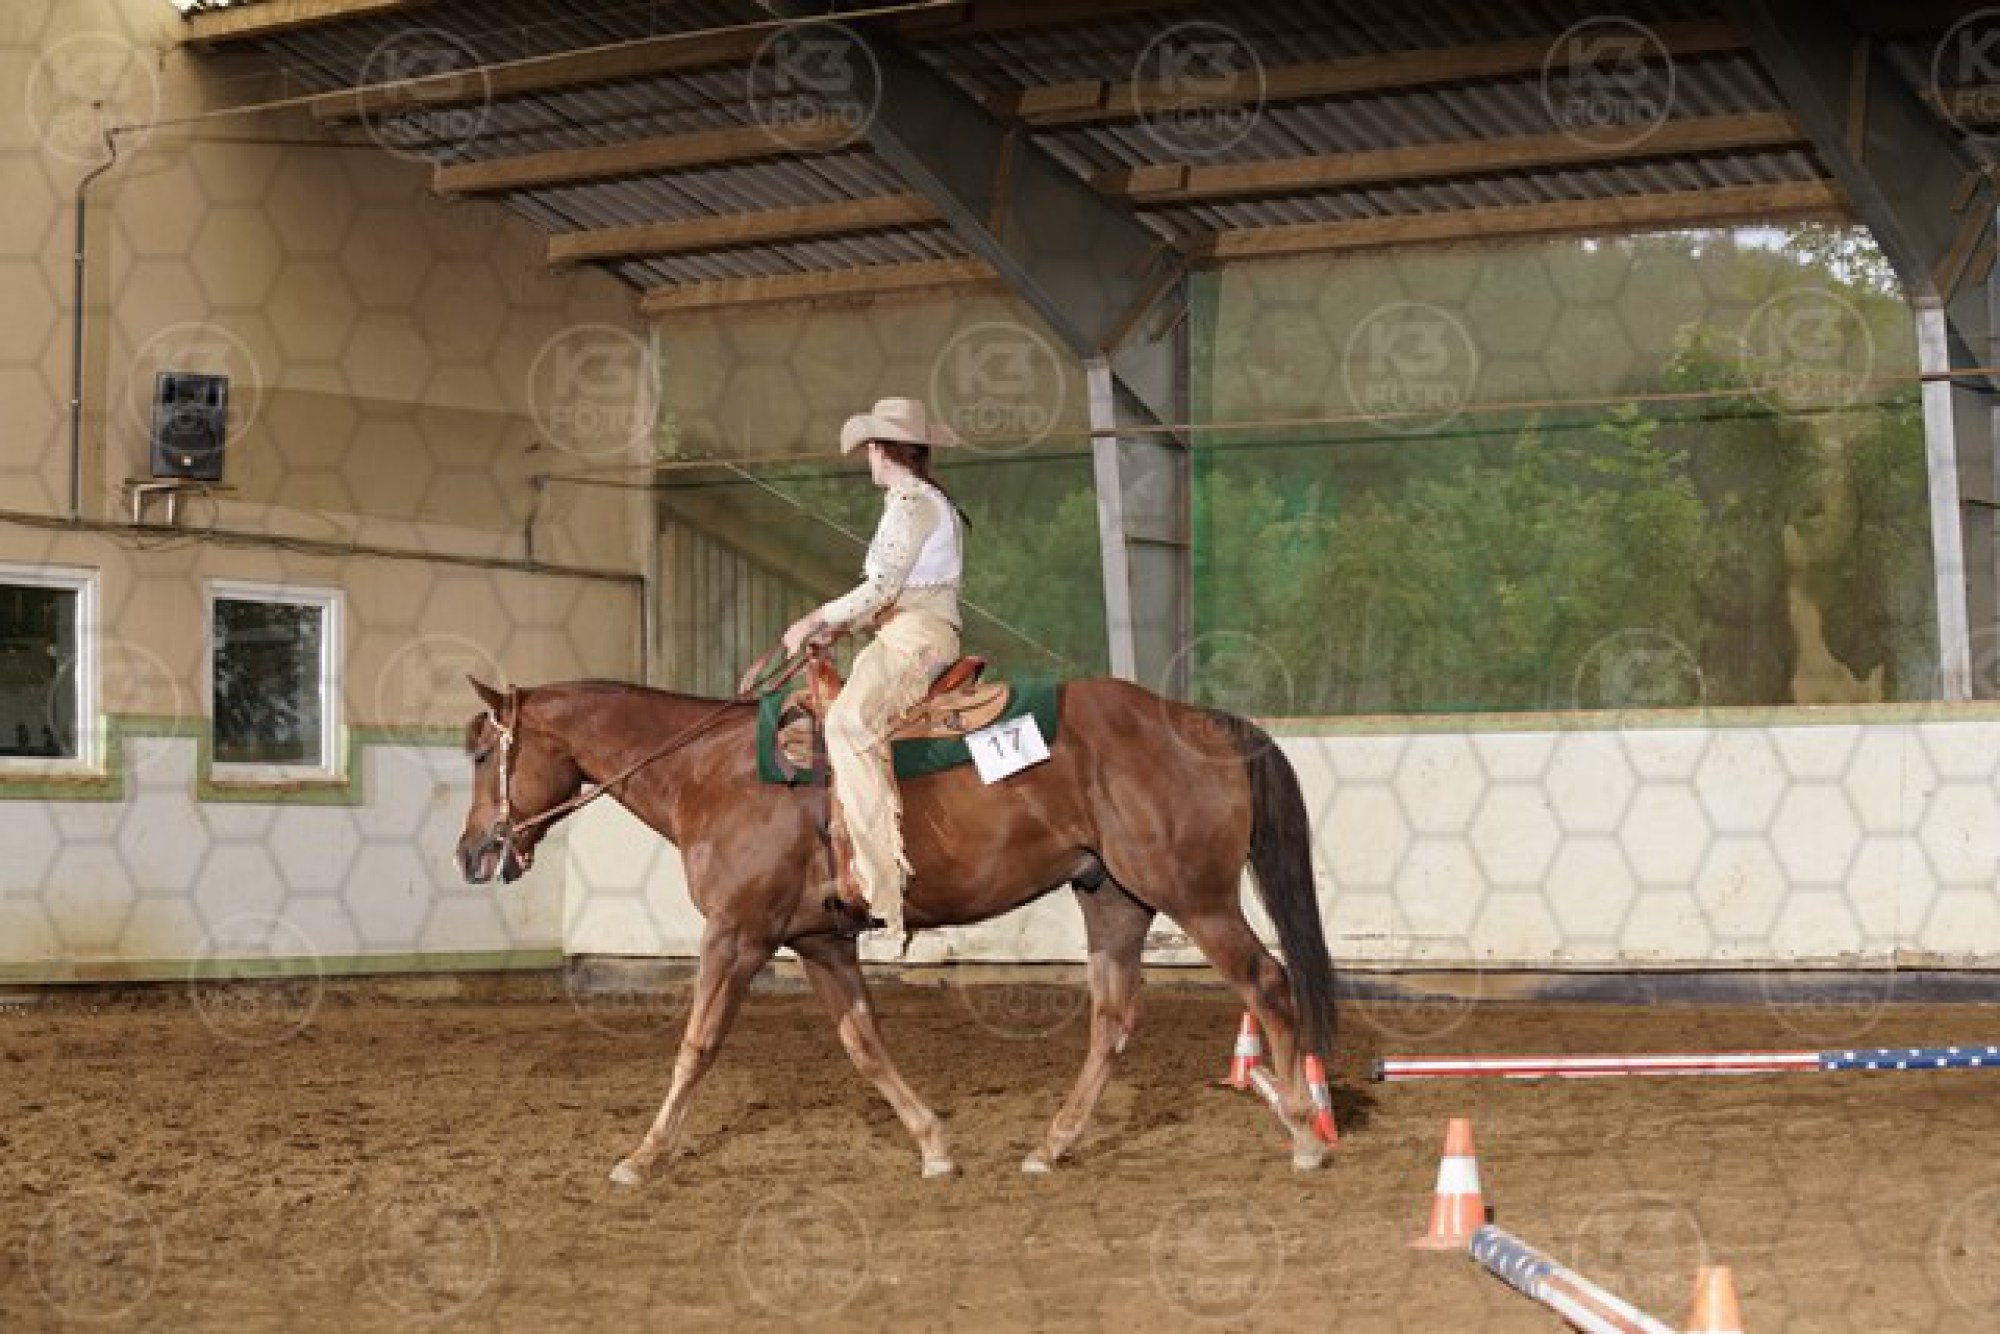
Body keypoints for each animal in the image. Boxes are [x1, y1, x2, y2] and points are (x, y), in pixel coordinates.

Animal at [454, 672, 1338, 1183]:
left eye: (480, 755)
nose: (471, 852)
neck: (710, 772)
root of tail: (1202, 721)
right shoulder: (818, 941)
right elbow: (864, 1043)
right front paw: (933, 1144)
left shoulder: (736, 935)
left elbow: (697, 1044)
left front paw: (642, 1156)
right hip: (1114, 897)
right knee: (1114, 1020)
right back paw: (1051, 1145)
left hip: (1197, 898)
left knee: (1267, 983)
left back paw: (1304, 1132)